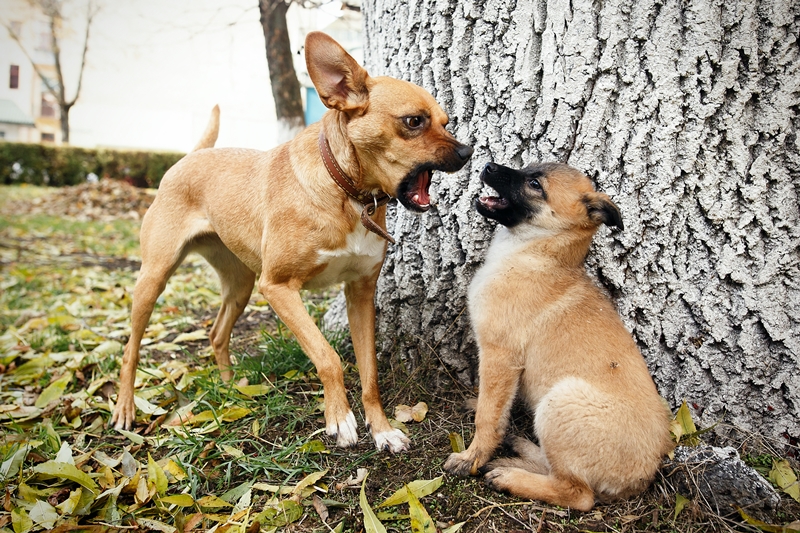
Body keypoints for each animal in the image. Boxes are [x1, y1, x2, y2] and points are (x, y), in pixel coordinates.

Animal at [112, 31, 476, 450]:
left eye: (446, 122)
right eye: (414, 122)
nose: (468, 151)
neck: (346, 194)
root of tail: (191, 157)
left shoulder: (360, 293)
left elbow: (369, 373)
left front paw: (382, 429)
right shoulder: (280, 288)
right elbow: (328, 356)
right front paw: (340, 418)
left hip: (241, 286)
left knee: (217, 335)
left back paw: (230, 390)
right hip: (155, 278)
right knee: (131, 348)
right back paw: (125, 407)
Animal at [444, 161, 676, 508]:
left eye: (535, 184)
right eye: (529, 167)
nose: (487, 165)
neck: (540, 254)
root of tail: (644, 475)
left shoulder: (500, 356)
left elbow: (489, 415)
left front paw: (471, 457)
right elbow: (494, 406)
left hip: (560, 402)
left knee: (576, 493)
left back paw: (512, 478)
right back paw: (519, 450)